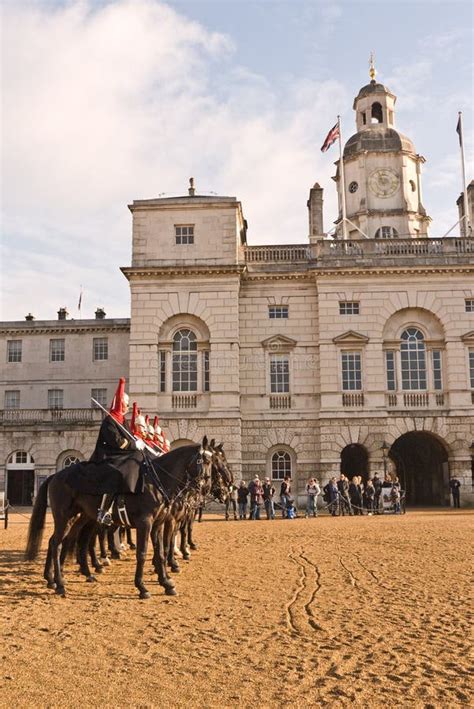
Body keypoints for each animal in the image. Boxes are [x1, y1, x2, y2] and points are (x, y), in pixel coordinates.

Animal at [25, 436, 230, 596]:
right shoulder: (147, 522)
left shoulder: (159, 523)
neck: (157, 481)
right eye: (207, 461)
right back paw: (61, 582)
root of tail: (55, 475)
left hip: (82, 517)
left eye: (214, 461)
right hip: (65, 517)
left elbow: (161, 550)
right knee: (58, 543)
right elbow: (143, 552)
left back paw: (62, 577)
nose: (206, 487)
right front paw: (142, 586)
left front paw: (166, 581)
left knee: (72, 541)